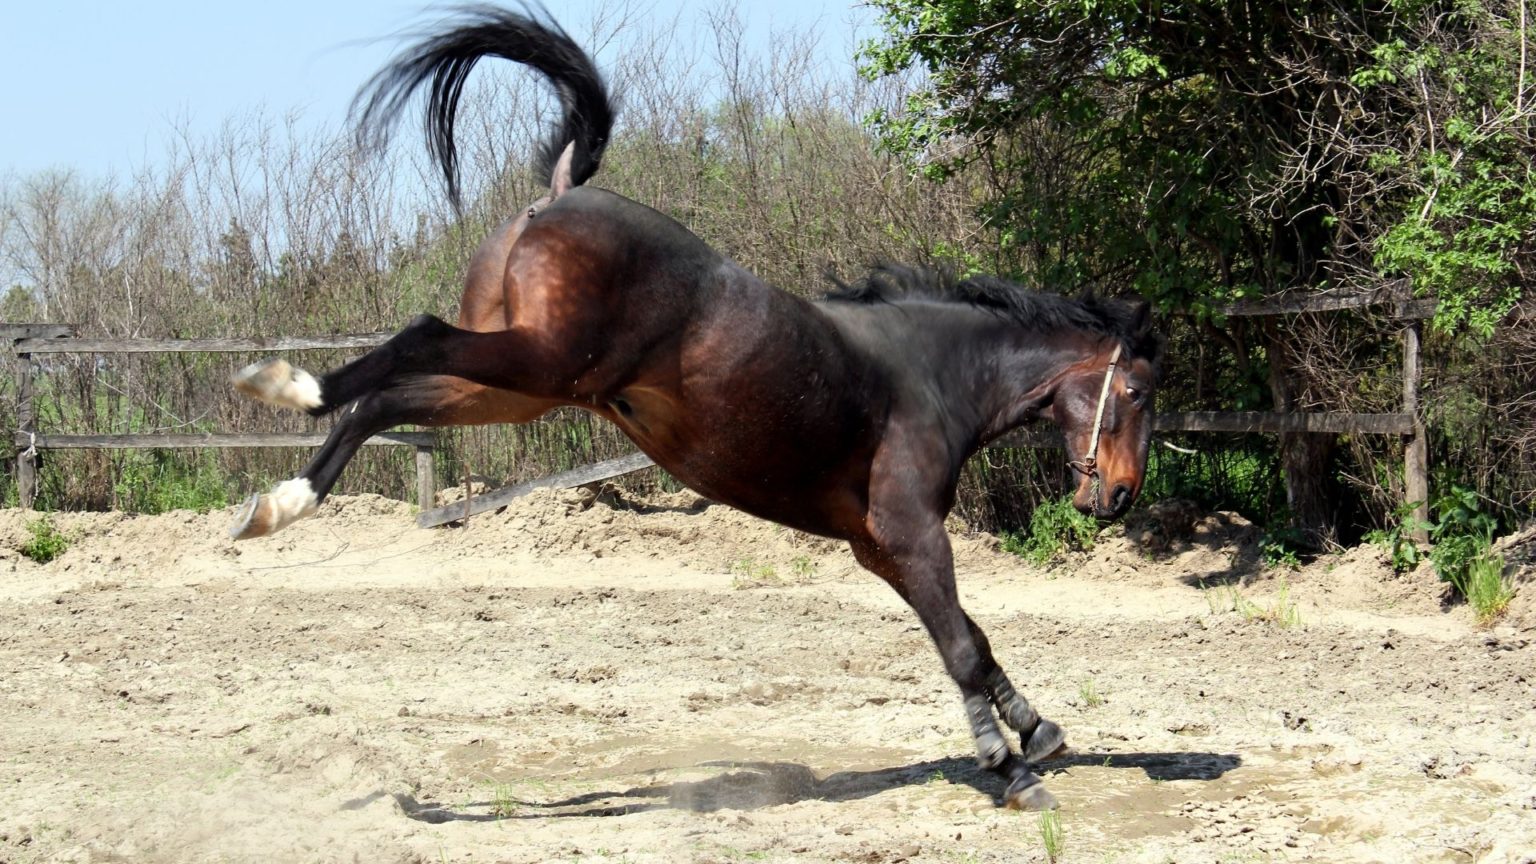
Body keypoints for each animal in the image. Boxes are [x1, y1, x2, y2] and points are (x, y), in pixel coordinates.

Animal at [228, 5, 1161, 811]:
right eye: (1139, 392)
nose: (1118, 496)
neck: (926, 375)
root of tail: (560, 193)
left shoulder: (881, 550)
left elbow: (971, 638)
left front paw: (1037, 731)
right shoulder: (911, 535)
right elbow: (962, 644)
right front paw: (1013, 769)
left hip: (515, 385)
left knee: (385, 401)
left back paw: (278, 505)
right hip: (535, 361)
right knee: (409, 344)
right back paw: (286, 390)